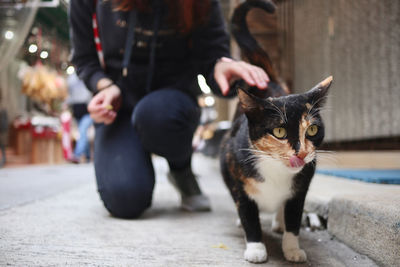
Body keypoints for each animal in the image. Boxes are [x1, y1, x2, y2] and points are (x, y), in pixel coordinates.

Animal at [220, 0, 332, 264]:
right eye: (279, 131)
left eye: (312, 129)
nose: (301, 153)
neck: (275, 170)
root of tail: (269, 81)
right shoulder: (236, 177)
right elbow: (249, 214)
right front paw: (256, 248)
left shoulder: (301, 187)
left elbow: (294, 217)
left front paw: (292, 248)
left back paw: (279, 223)